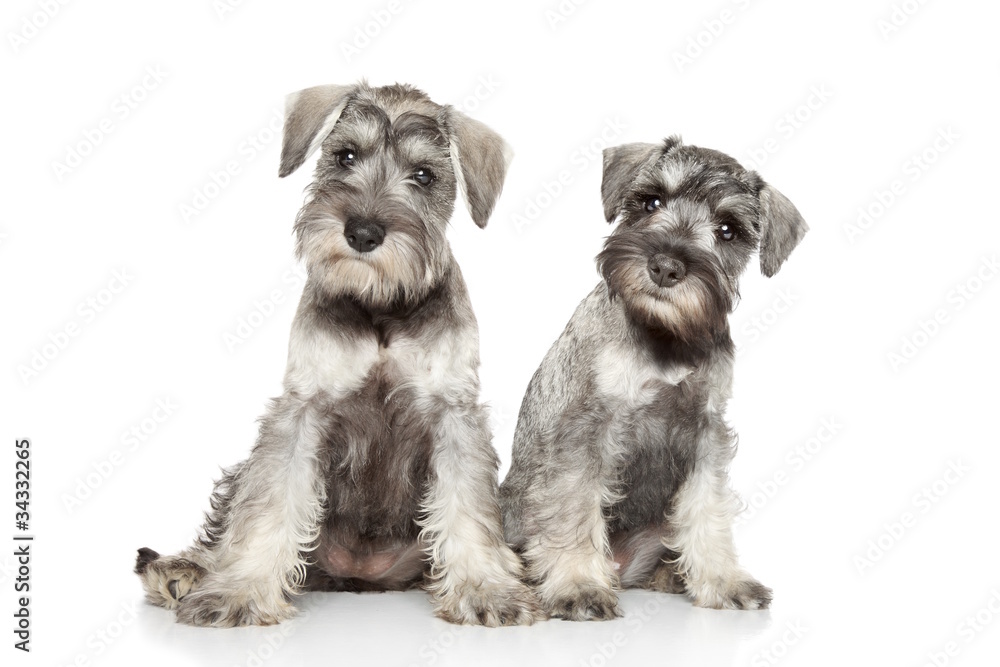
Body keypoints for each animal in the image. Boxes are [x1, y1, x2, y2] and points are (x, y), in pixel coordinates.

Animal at [135, 82, 540, 628]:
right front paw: (239, 592)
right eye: (346, 155)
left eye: (424, 175)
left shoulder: (453, 414)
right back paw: (181, 571)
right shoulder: (303, 410)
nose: (363, 232)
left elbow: (468, 508)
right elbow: (268, 505)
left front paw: (485, 588)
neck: (379, 304)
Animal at [496, 138, 808, 624]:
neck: (666, 336)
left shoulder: (706, 432)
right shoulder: (584, 430)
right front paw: (578, 585)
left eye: (728, 229)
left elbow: (707, 509)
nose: (665, 266)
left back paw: (672, 575)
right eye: (651, 201)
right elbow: (573, 508)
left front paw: (724, 580)